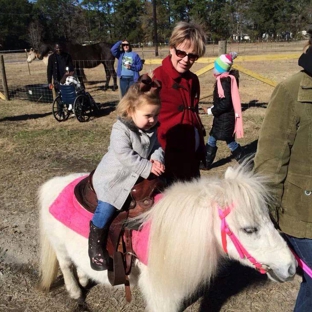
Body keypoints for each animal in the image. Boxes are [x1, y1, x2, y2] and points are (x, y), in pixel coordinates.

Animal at [37, 165, 296, 310]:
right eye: (249, 229)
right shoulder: (160, 292)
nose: (292, 268)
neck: (172, 234)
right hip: (59, 247)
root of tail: (55, 184)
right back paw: (75, 291)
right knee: (66, 265)